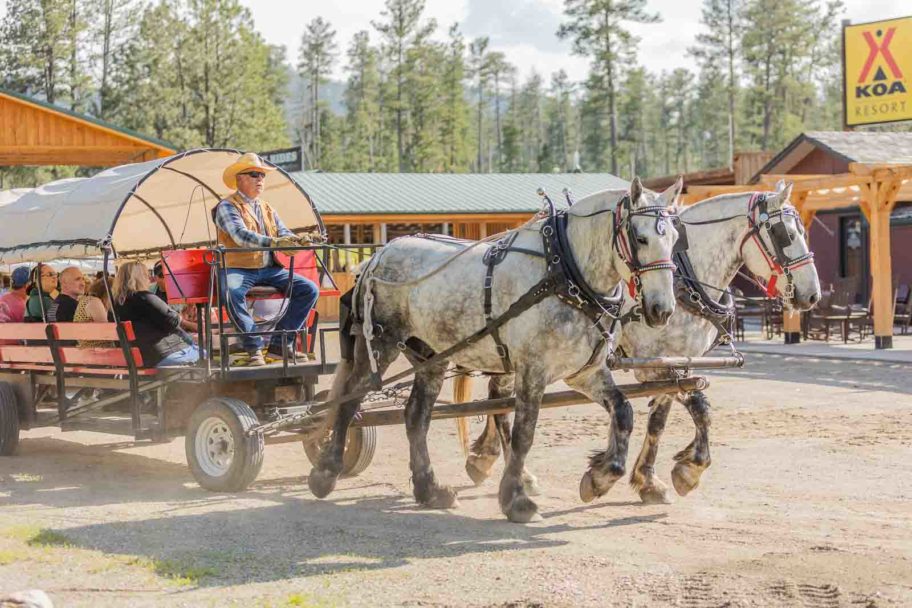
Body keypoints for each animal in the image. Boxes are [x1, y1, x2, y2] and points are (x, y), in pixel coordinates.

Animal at [310, 177, 680, 524]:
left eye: (675, 239)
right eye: (641, 238)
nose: (662, 310)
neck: (565, 272)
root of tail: (377, 256)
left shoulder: (584, 371)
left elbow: (624, 412)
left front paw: (599, 477)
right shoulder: (533, 370)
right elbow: (523, 434)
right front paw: (516, 499)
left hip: (429, 355)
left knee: (416, 416)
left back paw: (430, 489)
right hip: (379, 344)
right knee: (350, 400)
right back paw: (326, 472)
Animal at [466, 179, 824, 504]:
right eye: (785, 234)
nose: (812, 295)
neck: (684, 279)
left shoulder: (676, 362)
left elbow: (661, 420)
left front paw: (649, 479)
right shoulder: (651, 365)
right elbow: (696, 406)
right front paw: (682, 470)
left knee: (499, 394)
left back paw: (488, 459)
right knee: (502, 398)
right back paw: (513, 473)